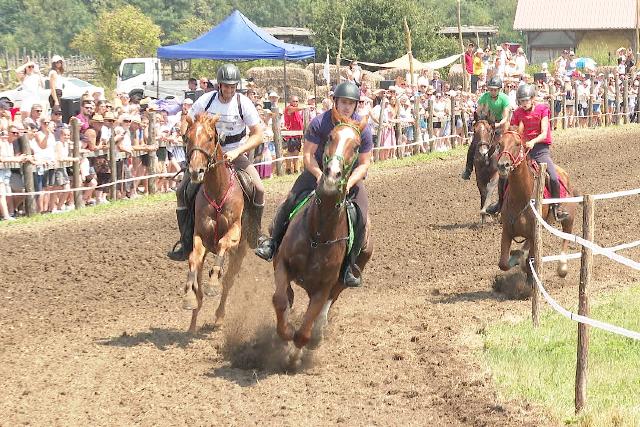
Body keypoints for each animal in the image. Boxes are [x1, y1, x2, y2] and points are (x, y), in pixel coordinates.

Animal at [182, 113, 248, 334]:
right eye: (187, 137)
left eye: (210, 138)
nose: (196, 171)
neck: (217, 191)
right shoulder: (199, 236)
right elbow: (193, 259)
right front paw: (189, 296)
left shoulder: (234, 233)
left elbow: (222, 244)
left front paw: (213, 283)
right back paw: (192, 324)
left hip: (240, 252)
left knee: (228, 282)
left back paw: (219, 317)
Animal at [492, 130, 576, 284]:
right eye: (499, 143)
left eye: (517, 144)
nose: (503, 165)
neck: (520, 197)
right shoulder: (507, 231)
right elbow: (503, 264)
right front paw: (516, 258)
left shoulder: (533, 234)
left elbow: (529, 261)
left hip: (569, 218)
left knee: (566, 235)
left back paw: (562, 267)